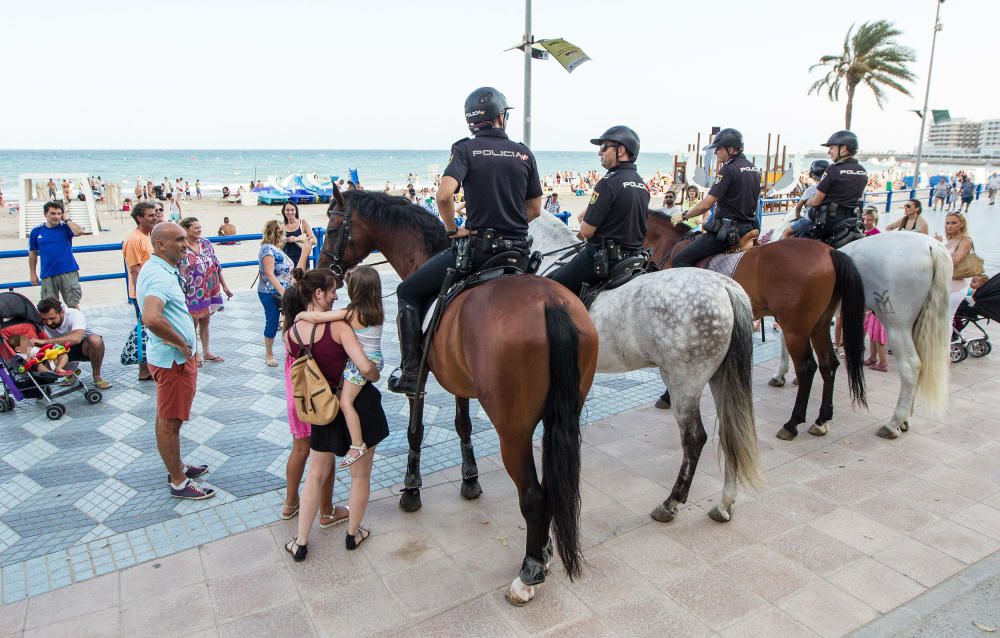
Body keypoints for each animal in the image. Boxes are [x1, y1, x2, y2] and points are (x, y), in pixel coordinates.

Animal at [320, 189, 596, 604]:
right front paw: (469, 480)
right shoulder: (459, 380)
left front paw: (412, 488)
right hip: (561, 416)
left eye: (334, 225)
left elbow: (415, 431)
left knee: (534, 495)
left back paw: (529, 571)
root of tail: (552, 303)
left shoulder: (419, 377)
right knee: (553, 486)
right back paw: (545, 551)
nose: (322, 268)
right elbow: (462, 423)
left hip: (512, 430)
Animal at [532, 214, 764, 524]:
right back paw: (725, 503)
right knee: (730, 432)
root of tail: (725, 288)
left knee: (694, 438)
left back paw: (671, 502)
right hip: (721, 377)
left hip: (684, 383)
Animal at [640, 212, 868, 442]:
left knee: (807, 368)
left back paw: (792, 423)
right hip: (819, 325)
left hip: (796, 328)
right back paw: (821, 419)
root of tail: (830, 251)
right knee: (828, 364)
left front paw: (668, 396)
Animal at [772, 234, 952, 440]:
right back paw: (905, 419)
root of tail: (932, 246)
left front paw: (781, 375)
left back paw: (893, 423)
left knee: (910, 366)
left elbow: (786, 341)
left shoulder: (794, 318)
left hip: (896, 325)